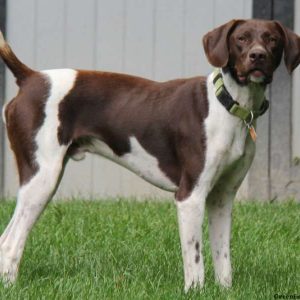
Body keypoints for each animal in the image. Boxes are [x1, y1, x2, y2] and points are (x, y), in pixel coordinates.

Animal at [0, 19, 300, 290]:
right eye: (241, 38)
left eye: (272, 39)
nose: (257, 55)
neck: (228, 106)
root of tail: (30, 77)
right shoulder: (190, 197)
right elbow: (195, 260)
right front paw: (195, 291)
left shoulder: (222, 198)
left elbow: (223, 258)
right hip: (42, 179)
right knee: (11, 243)